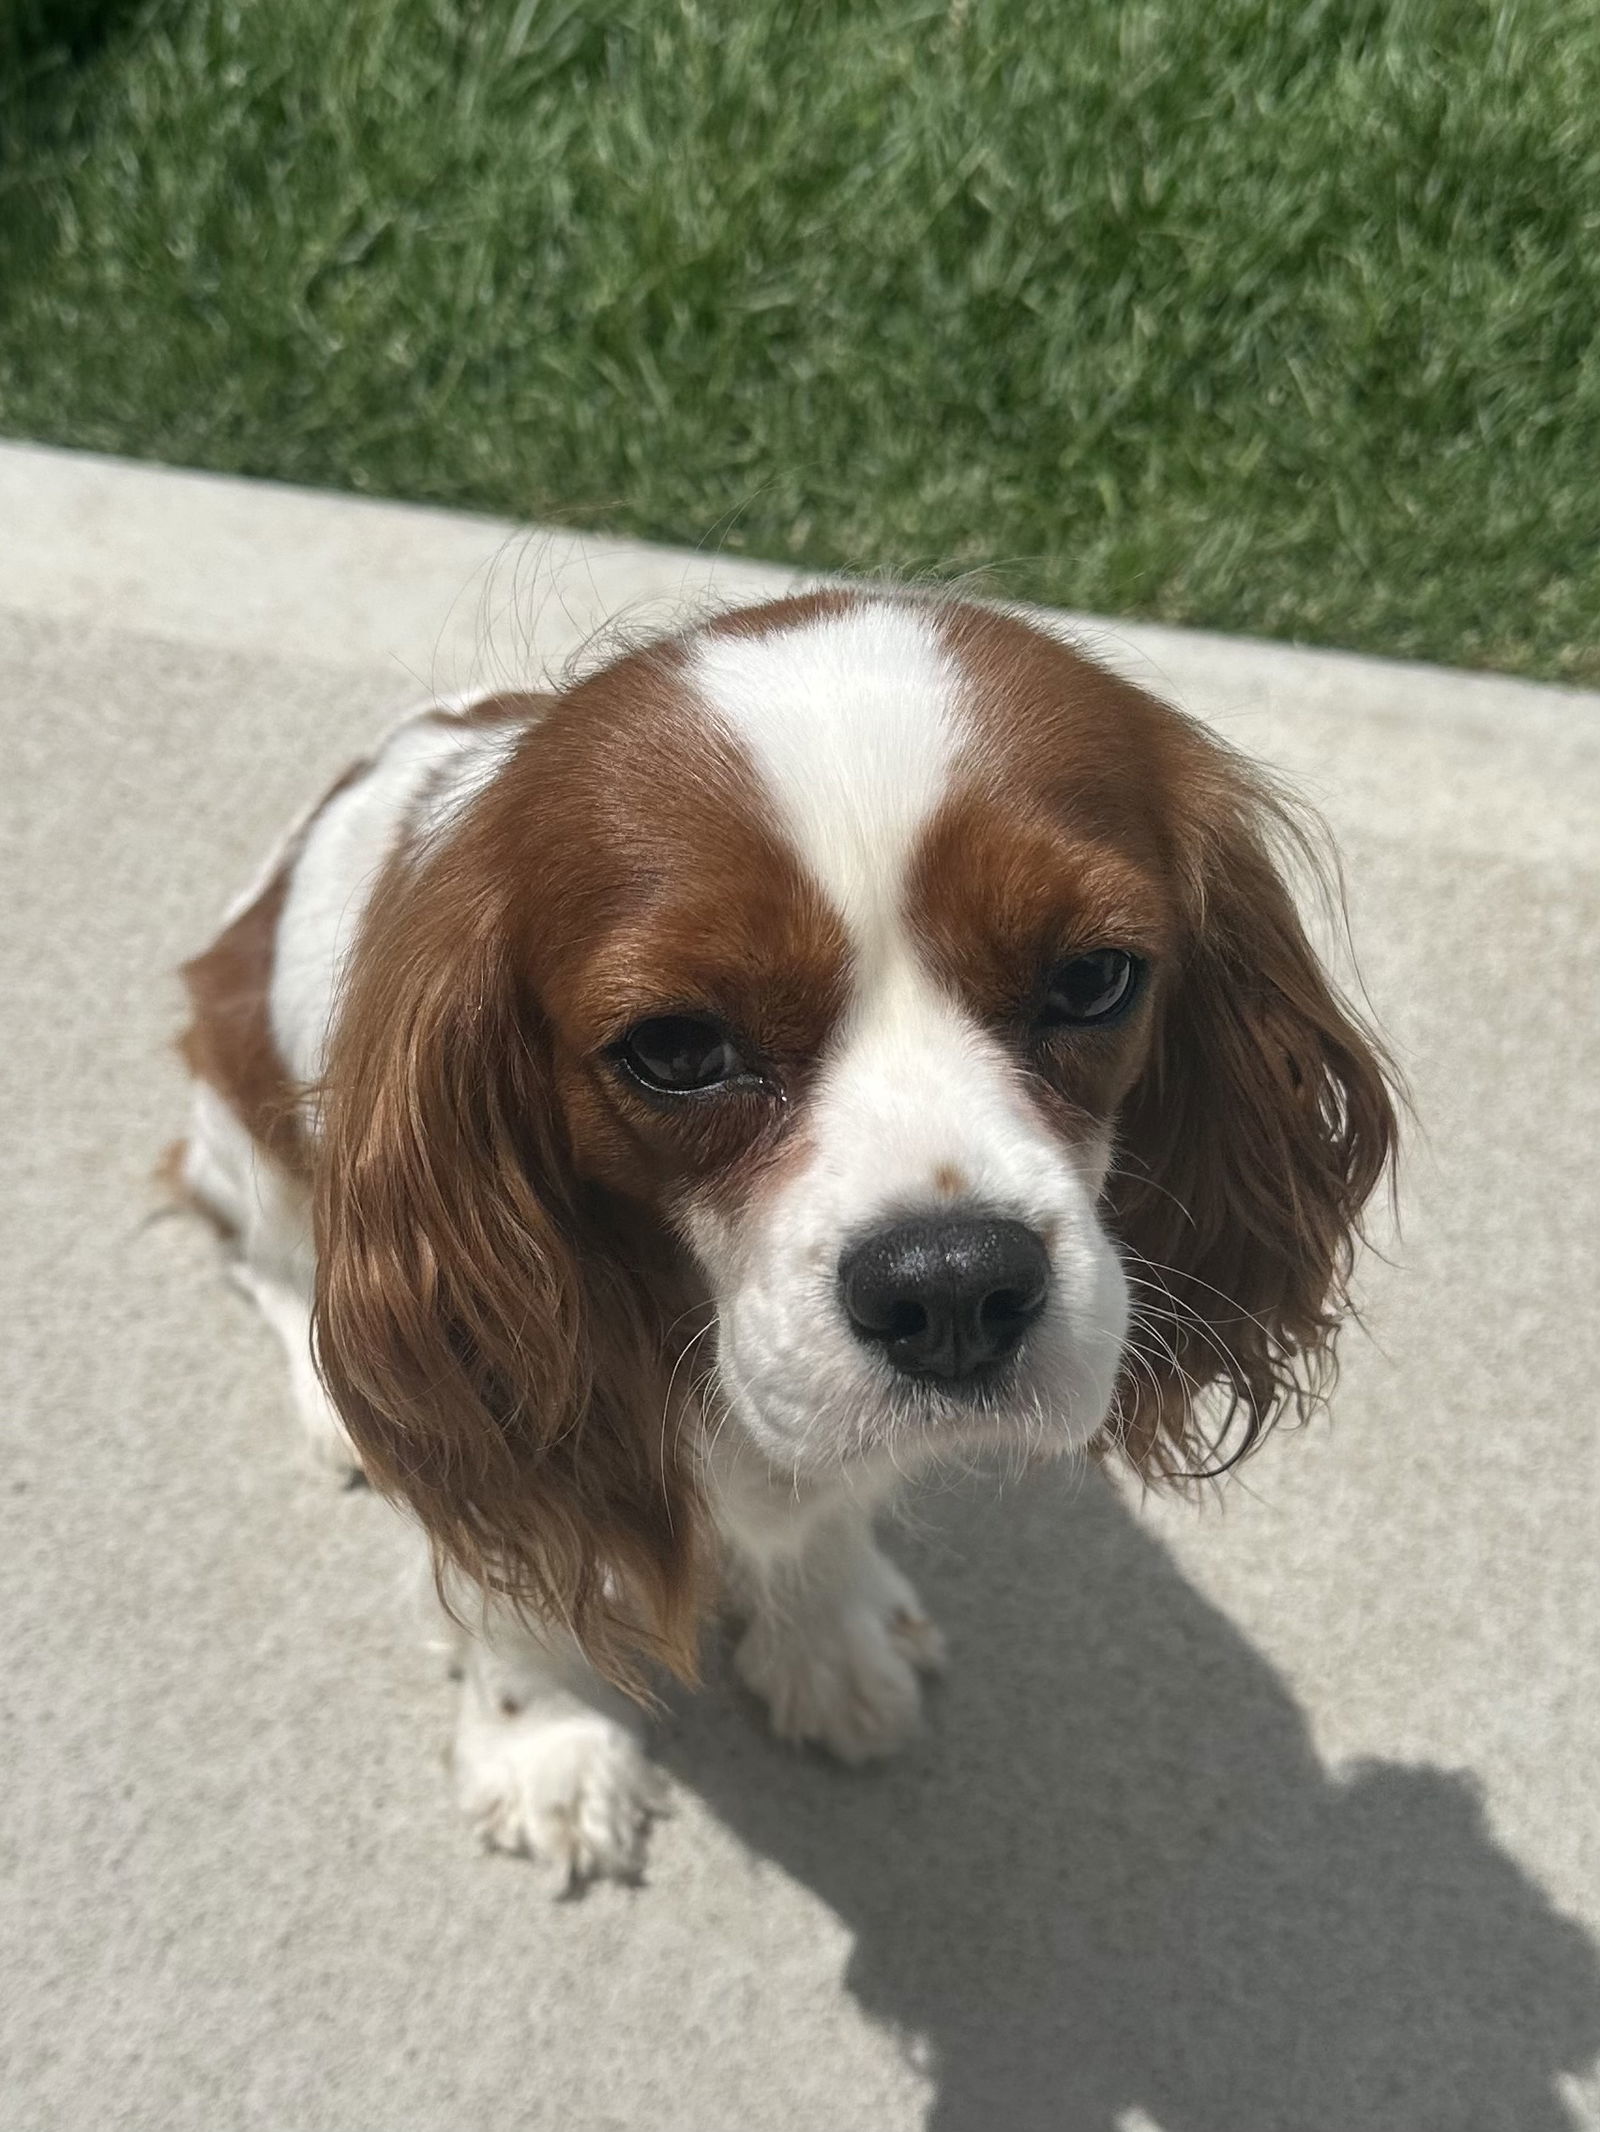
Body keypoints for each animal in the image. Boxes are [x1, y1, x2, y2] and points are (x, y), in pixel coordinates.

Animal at [174, 588, 1399, 1884]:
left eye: (1091, 979)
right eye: (673, 1047)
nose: (952, 1284)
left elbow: (820, 1500)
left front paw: (831, 1634)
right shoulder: (484, 1387)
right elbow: (506, 1581)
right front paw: (547, 1743)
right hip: (240, 1122)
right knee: (260, 1255)